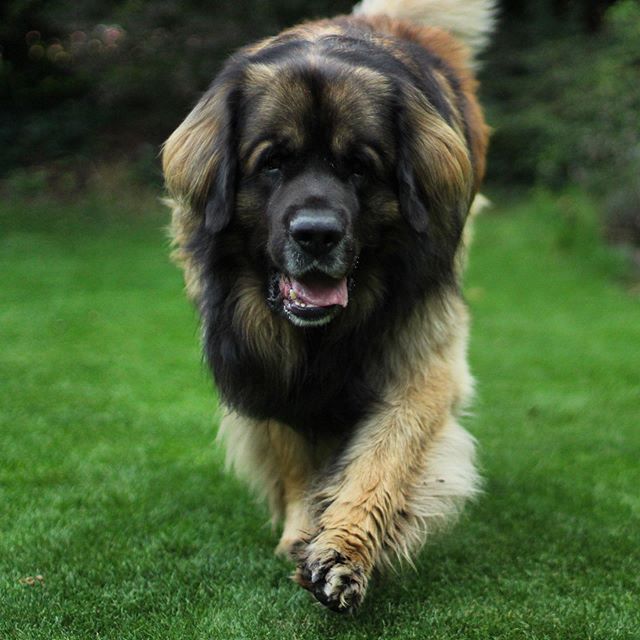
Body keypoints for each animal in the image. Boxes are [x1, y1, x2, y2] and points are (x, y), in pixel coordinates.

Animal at [165, 0, 496, 612]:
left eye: (359, 167)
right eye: (272, 163)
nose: (316, 234)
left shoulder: (420, 357)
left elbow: (383, 460)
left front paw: (343, 552)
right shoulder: (266, 361)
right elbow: (294, 454)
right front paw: (301, 528)